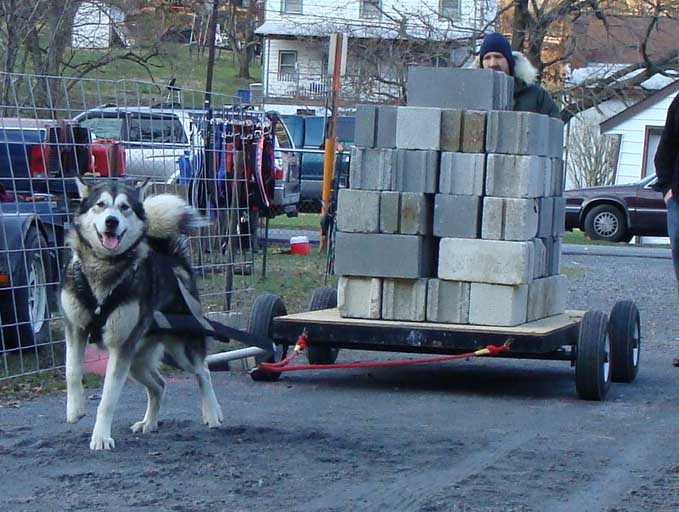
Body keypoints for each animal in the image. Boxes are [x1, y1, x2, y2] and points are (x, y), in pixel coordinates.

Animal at [61, 178, 223, 450]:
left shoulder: (120, 347)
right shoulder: (75, 329)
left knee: (203, 371)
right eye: (100, 205)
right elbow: (71, 370)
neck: (104, 270)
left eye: (124, 207)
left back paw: (212, 412)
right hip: (136, 361)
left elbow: (108, 398)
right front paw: (75, 410)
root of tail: (171, 259)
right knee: (159, 384)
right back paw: (149, 423)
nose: (111, 221)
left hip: (180, 350)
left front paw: (101, 436)